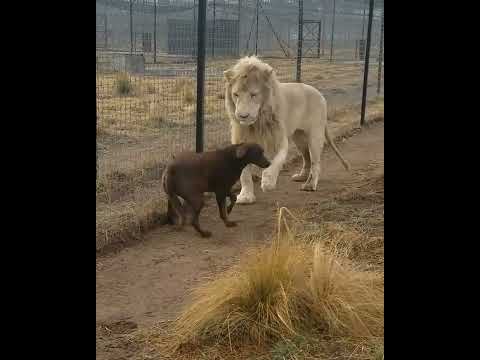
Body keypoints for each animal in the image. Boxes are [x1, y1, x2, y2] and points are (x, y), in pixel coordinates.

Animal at [223, 55, 350, 204]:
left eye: (253, 94)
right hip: (299, 137)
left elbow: (277, 161)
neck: (258, 122)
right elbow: (244, 174)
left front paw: (268, 182)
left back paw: (310, 185)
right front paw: (245, 196)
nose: (242, 116)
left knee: (315, 162)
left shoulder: (279, 139)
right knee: (306, 158)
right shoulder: (241, 141)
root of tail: (319, 93)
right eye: (236, 94)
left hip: (314, 136)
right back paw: (301, 177)